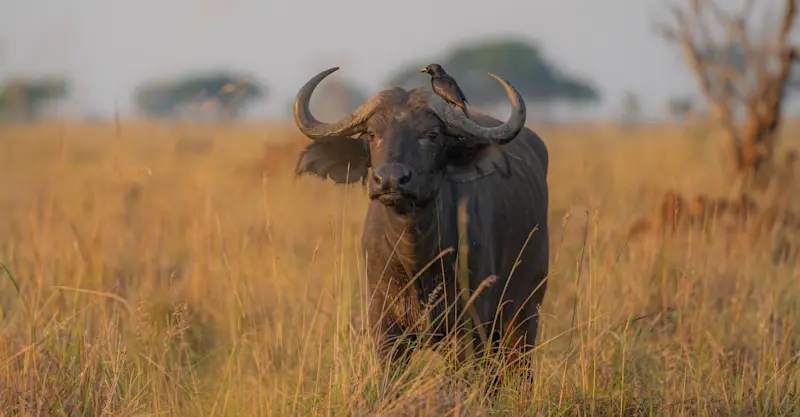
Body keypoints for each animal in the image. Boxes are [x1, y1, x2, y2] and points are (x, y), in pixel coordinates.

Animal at [293, 67, 550, 365]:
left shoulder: (470, 329)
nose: (391, 179)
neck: (416, 257)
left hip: (523, 316)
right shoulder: (385, 328)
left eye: (432, 134)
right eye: (372, 133)